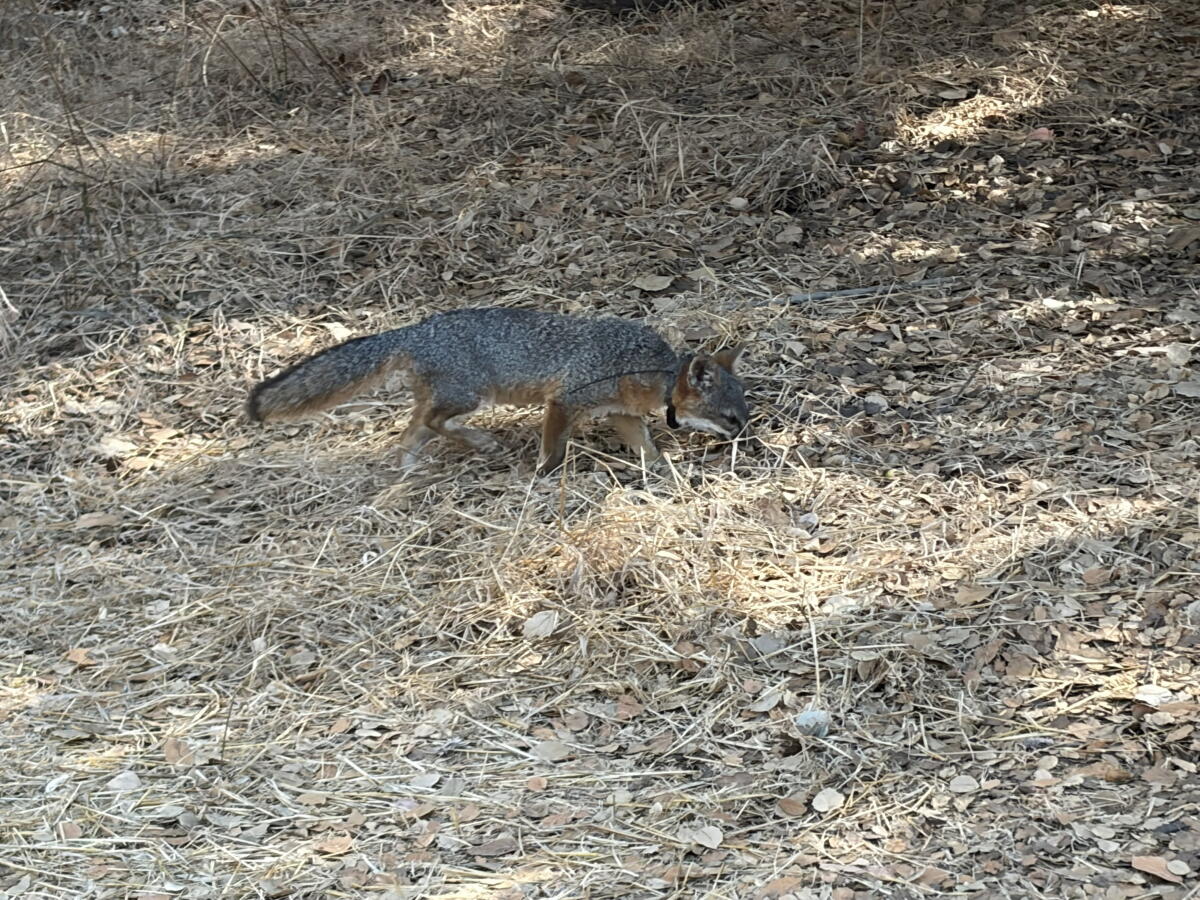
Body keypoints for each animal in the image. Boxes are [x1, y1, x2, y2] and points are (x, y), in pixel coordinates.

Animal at [246, 307, 749, 475]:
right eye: (731, 419)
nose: (748, 440)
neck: (649, 367)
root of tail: (415, 328)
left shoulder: (618, 412)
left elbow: (647, 447)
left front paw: (664, 471)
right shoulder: (564, 401)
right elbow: (553, 450)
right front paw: (540, 476)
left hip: (445, 398)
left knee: (411, 433)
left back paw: (408, 473)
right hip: (468, 397)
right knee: (431, 423)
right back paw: (480, 442)